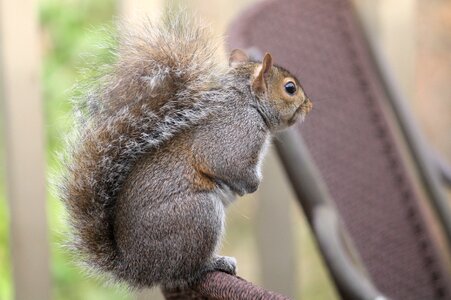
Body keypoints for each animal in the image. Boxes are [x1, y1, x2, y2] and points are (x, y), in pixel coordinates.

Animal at [60, 11, 312, 290]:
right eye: (290, 88)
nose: (309, 105)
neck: (248, 102)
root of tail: (137, 267)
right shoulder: (234, 134)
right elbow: (227, 164)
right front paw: (252, 184)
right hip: (199, 216)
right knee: (185, 270)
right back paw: (215, 262)